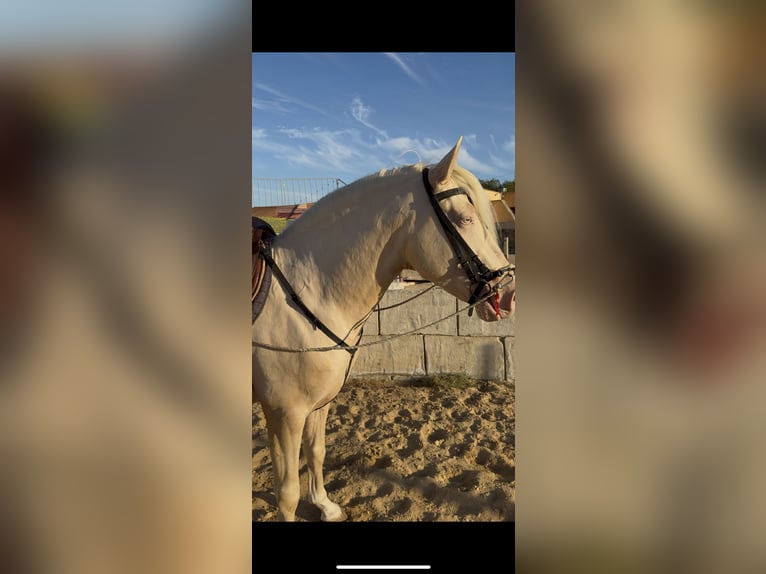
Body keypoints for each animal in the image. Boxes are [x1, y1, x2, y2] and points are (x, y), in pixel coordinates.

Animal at [252, 137, 516, 524]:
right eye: (465, 219)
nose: (508, 295)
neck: (305, 291)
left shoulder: (317, 406)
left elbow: (316, 452)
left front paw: (325, 506)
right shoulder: (284, 414)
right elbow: (286, 494)